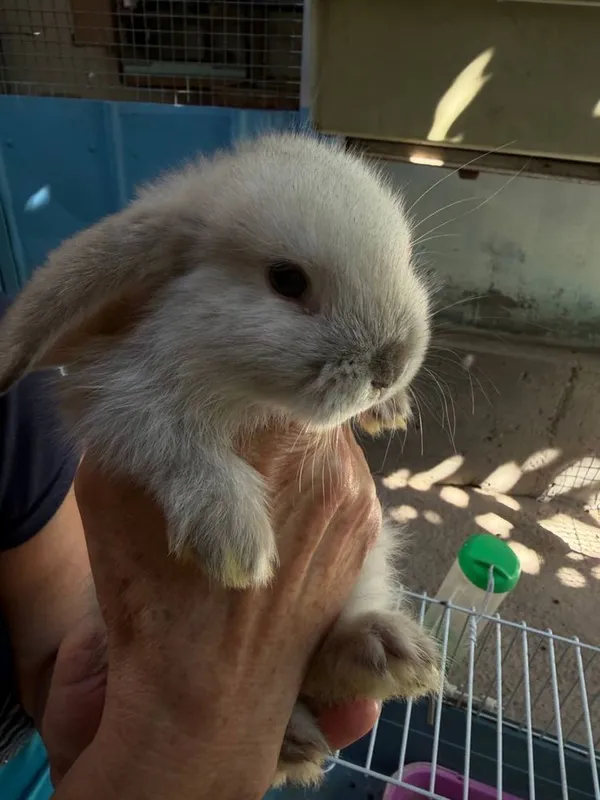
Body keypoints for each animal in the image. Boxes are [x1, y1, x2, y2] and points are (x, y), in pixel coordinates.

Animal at [0, 132, 440, 786]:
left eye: (404, 256)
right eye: (286, 280)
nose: (390, 365)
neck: (239, 389)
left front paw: (392, 412)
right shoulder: (118, 407)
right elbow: (180, 449)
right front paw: (236, 543)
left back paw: (383, 652)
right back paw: (298, 739)